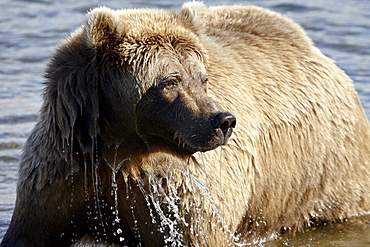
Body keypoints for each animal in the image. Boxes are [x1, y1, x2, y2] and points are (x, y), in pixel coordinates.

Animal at [2, 1, 370, 247]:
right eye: (171, 80)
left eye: (202, 78)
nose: (224, 121)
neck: (123, 150)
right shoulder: (63, 173)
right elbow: (31, 230)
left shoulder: (179, 195)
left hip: (326, 165)